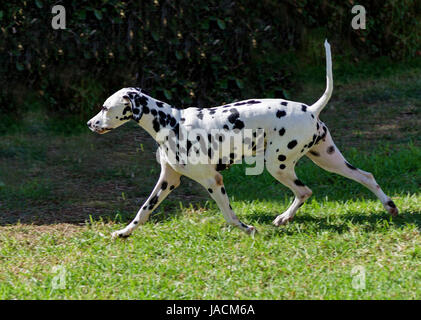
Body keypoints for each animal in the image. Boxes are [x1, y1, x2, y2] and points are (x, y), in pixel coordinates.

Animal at [86, 40, 398, 238]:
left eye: (104, 107)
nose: (90, 124)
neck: (170, 123)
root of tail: (311, 108)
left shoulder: (213, 181)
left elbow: (229, 214)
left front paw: (247, 229)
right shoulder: (168, 181)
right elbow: (143, 210)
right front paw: (124, 232)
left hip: (278, 165)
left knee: (305, 191)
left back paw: (284, 217)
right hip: (328, 160)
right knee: (366, 176)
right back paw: (389, 206)